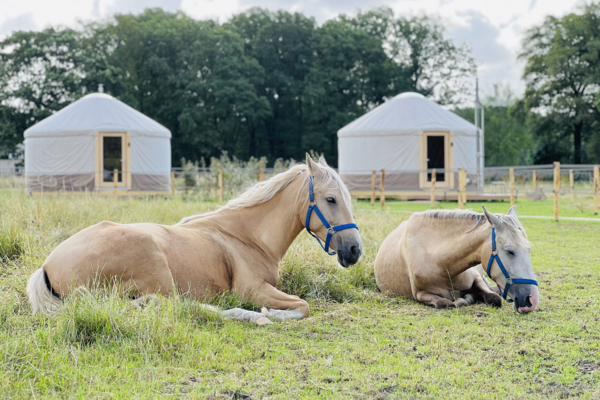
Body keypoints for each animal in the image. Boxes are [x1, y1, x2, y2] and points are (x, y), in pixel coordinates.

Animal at [28, 154, 360, 324]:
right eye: (331, 199)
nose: (355, 250)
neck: (246, 237)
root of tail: (47, 267)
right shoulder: (252, 289)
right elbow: (304, 306)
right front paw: (273, 313)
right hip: (156, 267)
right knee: (176, 306)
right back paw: (251, 316)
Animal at [376, 208, 540, 314]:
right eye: (510, 251)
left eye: (529, 250)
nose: (532, 300)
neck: (442, 265)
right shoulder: (419, 294)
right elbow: (445, 303)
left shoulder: (476, 278)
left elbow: (494, 298)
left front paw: (468, 297)